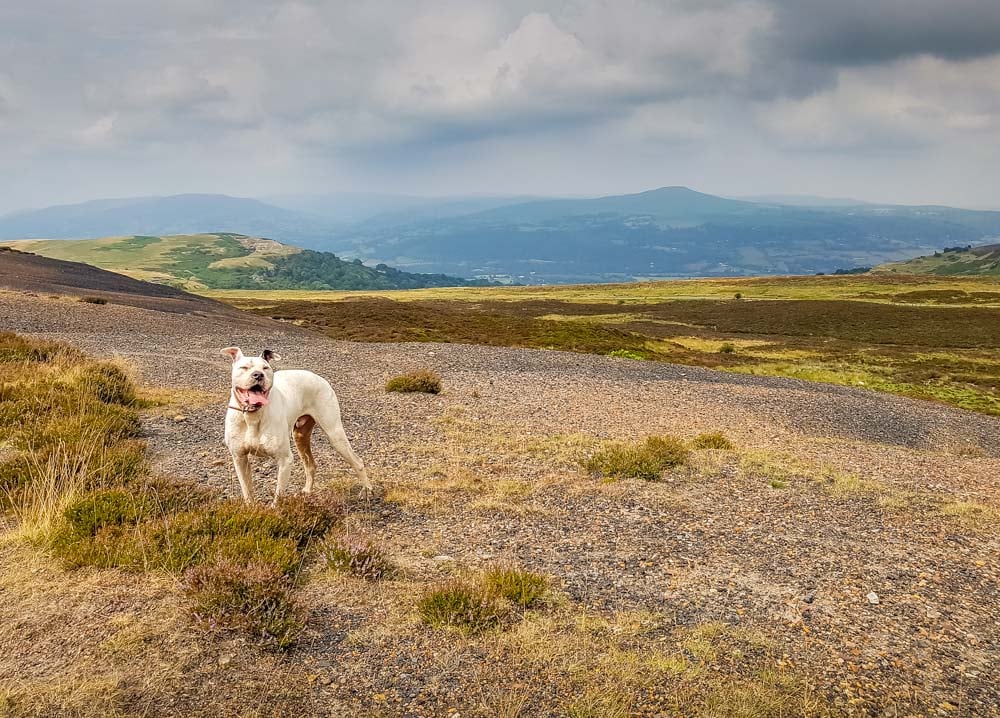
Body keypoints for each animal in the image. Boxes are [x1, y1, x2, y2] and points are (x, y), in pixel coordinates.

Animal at [221, 346, 374, 504]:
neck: (253, 416)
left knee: (357, 461)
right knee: (310, 465)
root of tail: (317, 377)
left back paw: (367, 490)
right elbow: (247, 491)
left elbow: (278, 497)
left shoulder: (285, 460)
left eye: (265, 368)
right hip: (300, 436)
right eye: (244, 367)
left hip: (335, 435)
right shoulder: (239, 458)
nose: (258, 375)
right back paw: (307, 491)